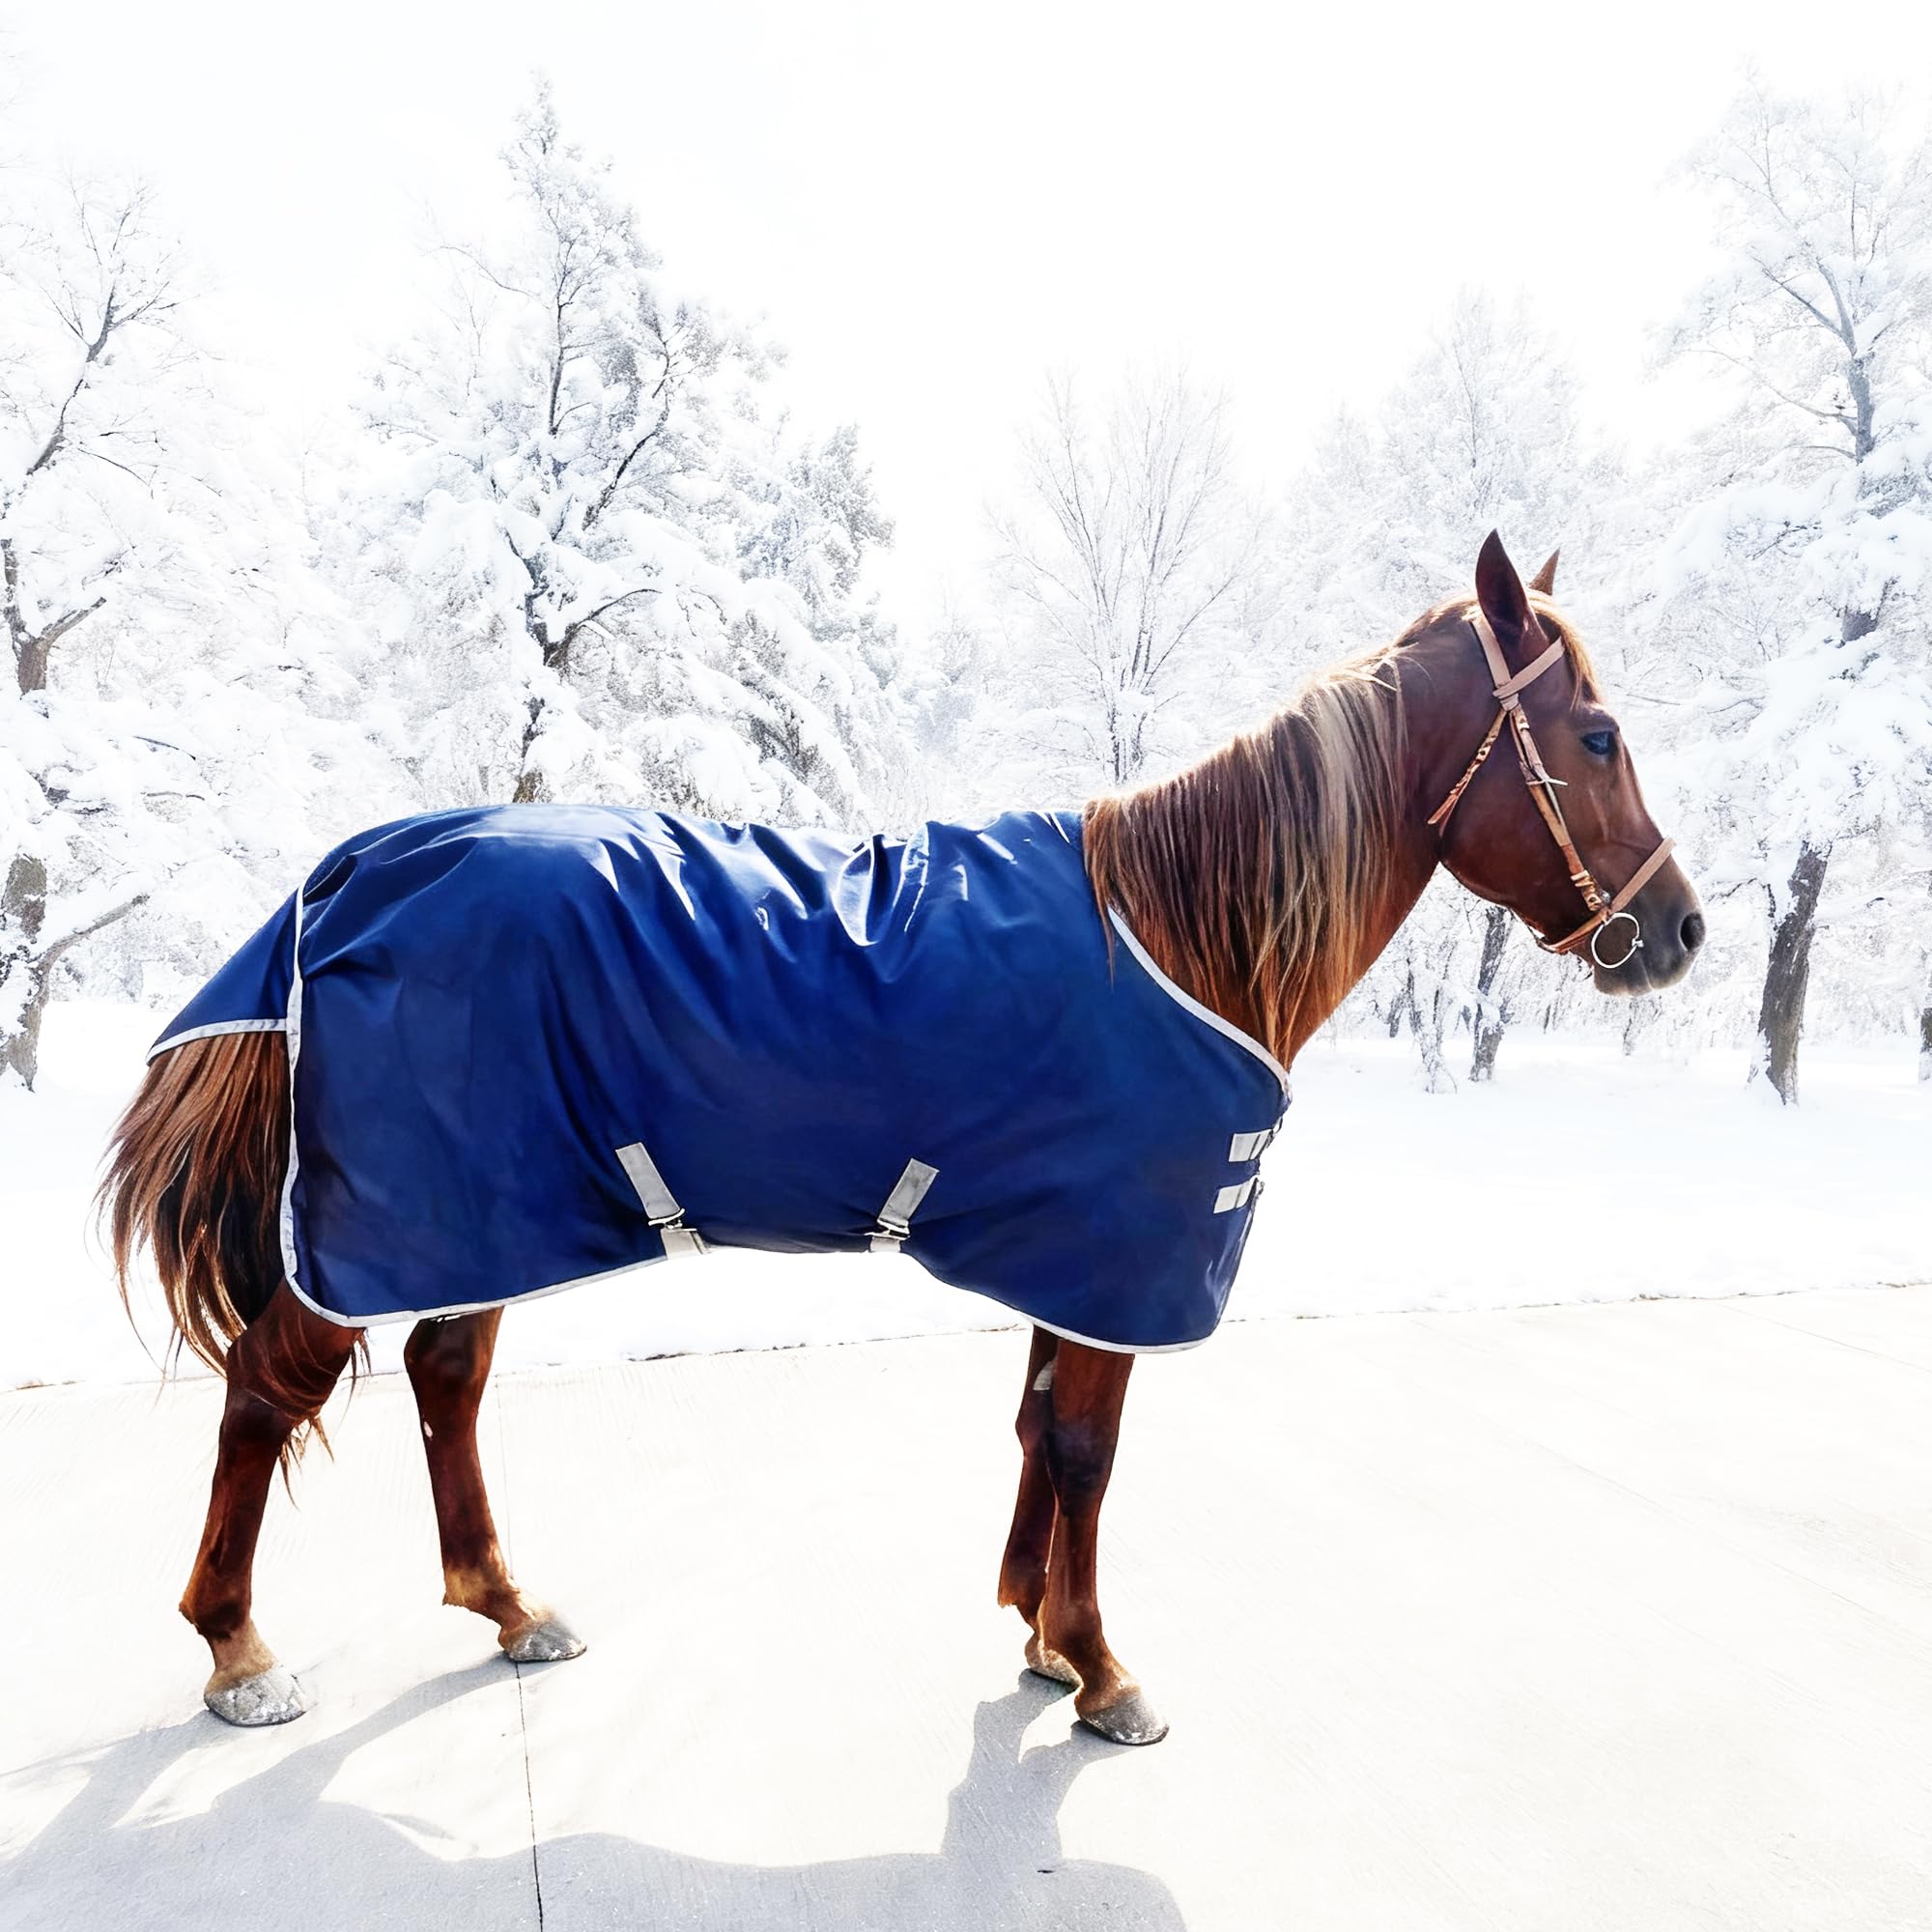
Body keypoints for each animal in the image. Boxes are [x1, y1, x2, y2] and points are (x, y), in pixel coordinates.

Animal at [100, 532, 1703, 1747]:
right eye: (1598, 734)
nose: (1681, 931)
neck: (1184, 935)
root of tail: (352, 870)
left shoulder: (1074, 1263)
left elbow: (1043, 1431)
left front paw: (1042, 1636)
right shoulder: (1121, 1257)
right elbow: (1088, 1451)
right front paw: (1103, 1668)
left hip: (488, 1211)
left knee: (445, 1377)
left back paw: (508, 1606)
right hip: (390, 1223)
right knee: (267, 1393)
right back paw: (239, 1652)